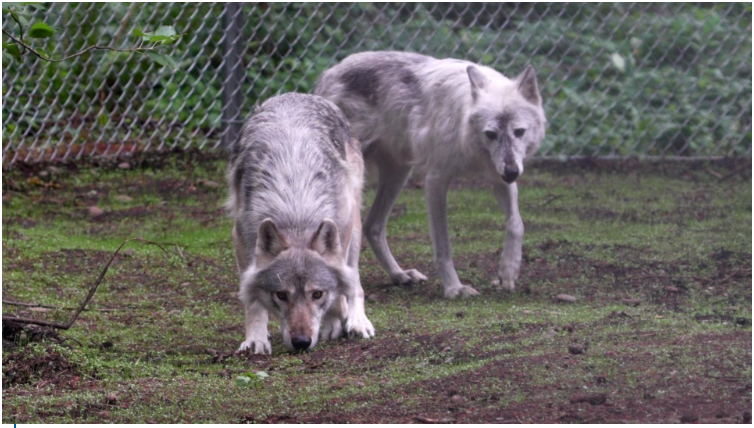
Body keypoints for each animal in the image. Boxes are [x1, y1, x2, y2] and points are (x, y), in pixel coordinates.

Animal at [225, 93, 374, 354]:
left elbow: (340, 286)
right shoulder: (241, 238)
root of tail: (300, 95)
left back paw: (357, 321)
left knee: (354, 280)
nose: (302, 342)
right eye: (281, 295)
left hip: (354, 226)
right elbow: (253, 301)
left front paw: (335, 322)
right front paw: (256, 339)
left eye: (317, 294)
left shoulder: (343, 229)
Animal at [315, 51, 546, 298]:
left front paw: (508, 271)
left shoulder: (498, 175)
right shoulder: (436, 180)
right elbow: (444, 246)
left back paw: (399, 275)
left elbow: (517, 224)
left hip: (399, 174)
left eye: (519, 132)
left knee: (372, 226)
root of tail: (328, 74)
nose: (512, 172)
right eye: (491, 134)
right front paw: (455, 288)